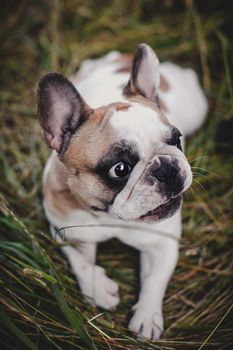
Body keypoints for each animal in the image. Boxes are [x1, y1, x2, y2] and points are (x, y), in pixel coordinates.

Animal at [37, 43, 208, 340]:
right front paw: (98, 289)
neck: (108, 218)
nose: (166, 167)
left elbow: (155, 279)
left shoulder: (162, 243)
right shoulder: (63, 228)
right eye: (120, 169)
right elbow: (78, 260)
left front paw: (147, 317)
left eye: (177, 140)